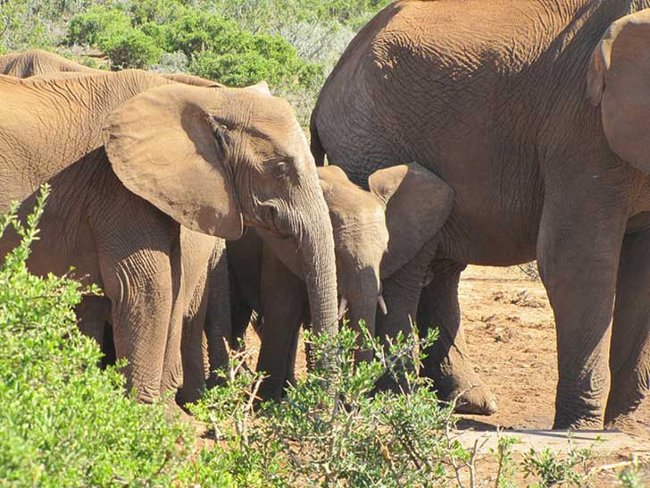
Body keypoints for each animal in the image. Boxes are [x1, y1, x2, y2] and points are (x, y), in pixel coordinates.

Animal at [0, 68, 339, 404]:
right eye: (281, 169)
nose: (321, 406)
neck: (207, 97)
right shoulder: (116, 187)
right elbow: (147, 289)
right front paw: (147, 412)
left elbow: (170, 283)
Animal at [227, 163, 453, 399]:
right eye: (338, 254)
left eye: (384, 253)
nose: (355, 399)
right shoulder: (280, 253)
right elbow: (282, 312)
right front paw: (264, 401)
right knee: (241, 315)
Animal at [310, 1, 650, 429]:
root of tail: (331, 80)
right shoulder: (579, 129)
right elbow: (574, 260)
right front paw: (579, 427)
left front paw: (625, 425)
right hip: (370, 139)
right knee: (404, 263)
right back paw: (400, 397)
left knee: (440, 265)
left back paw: (467, 400)